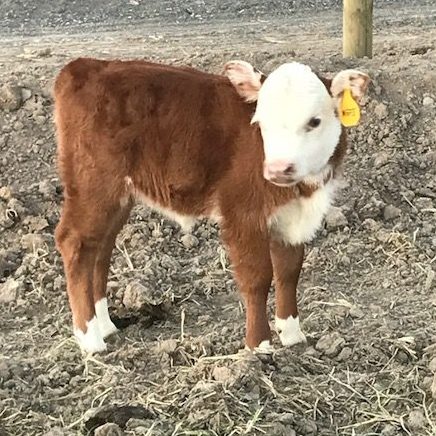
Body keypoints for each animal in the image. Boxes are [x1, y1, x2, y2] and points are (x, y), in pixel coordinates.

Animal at [52, 56, 370, 352]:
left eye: (314, 121)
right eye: (261, 122)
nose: (278, 169)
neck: (303, 190)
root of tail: (85, 66)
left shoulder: (291, 216)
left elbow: (289, 271)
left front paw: (292, 334)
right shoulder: (242, 212)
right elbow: (257, 277)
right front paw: (259, 346)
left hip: (118, 195)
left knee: (100, 247)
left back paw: (105, 325)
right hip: (94, 183)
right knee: (75, 242)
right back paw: (90, 339)